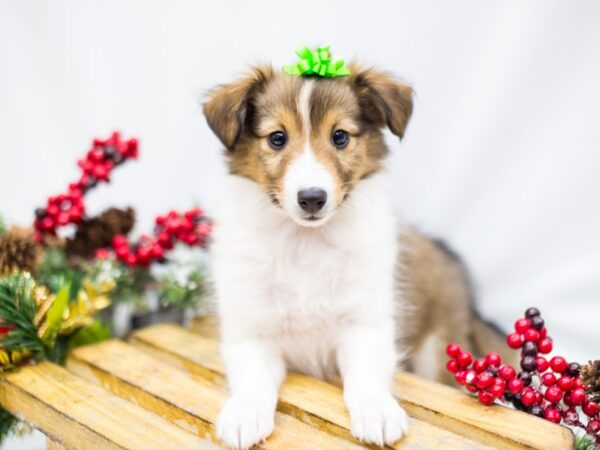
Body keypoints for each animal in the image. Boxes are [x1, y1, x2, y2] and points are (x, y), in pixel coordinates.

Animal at [204, 65, 508, 448]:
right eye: (277, 138)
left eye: (339, 137)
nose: (312, 198)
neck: (305, 241)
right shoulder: (249, 332)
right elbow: (253, 379)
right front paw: (243, 414)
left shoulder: (366, 325)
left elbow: (365, 376)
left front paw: (377, 412)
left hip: (437, 350)